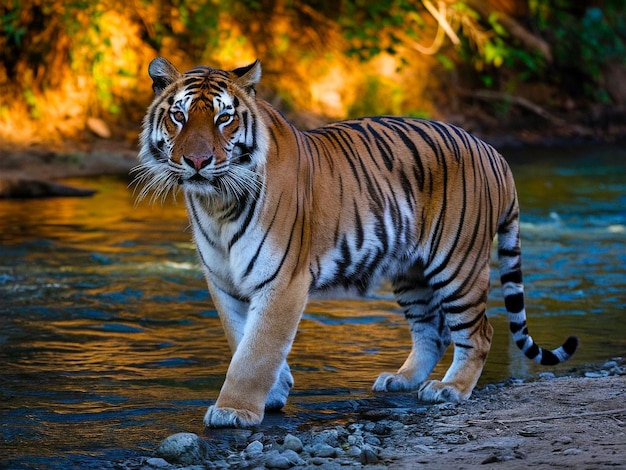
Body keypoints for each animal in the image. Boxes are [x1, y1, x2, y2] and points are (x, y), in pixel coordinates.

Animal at [135, 57, 576, 428]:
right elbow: (240, 337)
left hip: (458, 263)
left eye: (224, 118)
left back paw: (449, 389)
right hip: (411, 271)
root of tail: (493, 151)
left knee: (479, 332)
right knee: (432, 330)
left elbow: (256, 351)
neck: (217, 204)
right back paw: (401, 379)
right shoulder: (223, 281)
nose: (197, 162)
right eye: (179, 116)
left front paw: (234, 410)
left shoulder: (283, 281)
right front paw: (275, 391)